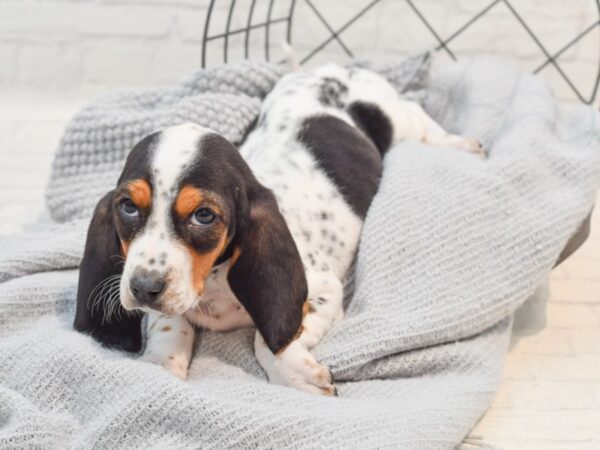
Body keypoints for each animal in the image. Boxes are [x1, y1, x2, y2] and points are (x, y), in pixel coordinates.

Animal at [72, 62, 482, 394]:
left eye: (204, 216)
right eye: (127, 207)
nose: (143, 287)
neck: (213, 282)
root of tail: (337, 68)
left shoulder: (322, 289)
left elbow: (268, 340)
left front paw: (299, 376)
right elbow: (170, 325)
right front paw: (159, 365)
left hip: (398, 120)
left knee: (423, 123)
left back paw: (466, 145)